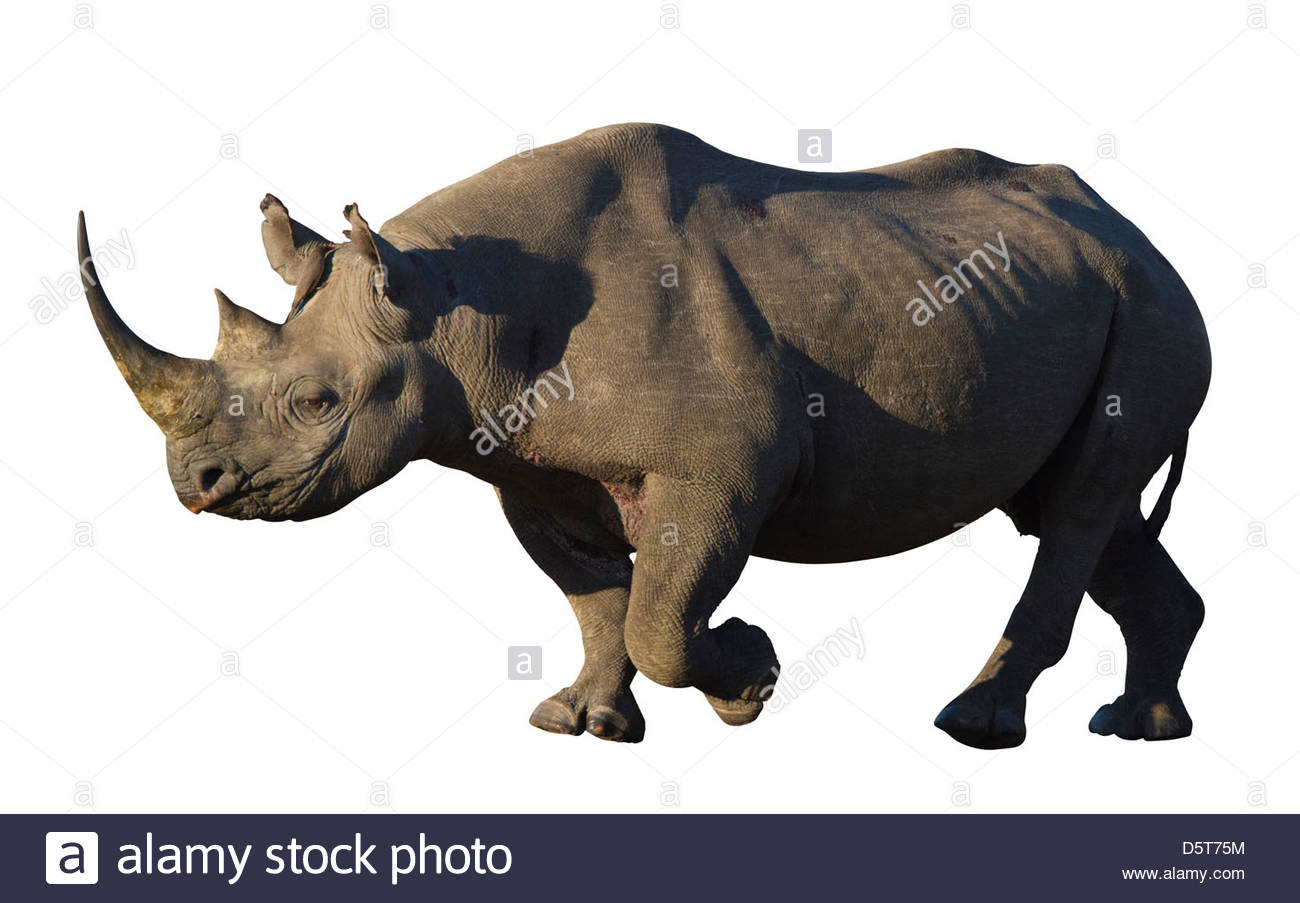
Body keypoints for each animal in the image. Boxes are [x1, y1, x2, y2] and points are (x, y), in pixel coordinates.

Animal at [78, 123, 1211, 748]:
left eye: (316, 403)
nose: (195, 480)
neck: (448, 303)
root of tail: (1138, 228)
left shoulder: (727, 466)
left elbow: (663, 617)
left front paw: (749, 678)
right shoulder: (529, 463)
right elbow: (597, 600)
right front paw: (579, 724)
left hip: (1150, 306)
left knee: (1077, 509)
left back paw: (977, 730)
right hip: (1092, 299)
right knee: (1081, 508)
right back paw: (1143, 732)